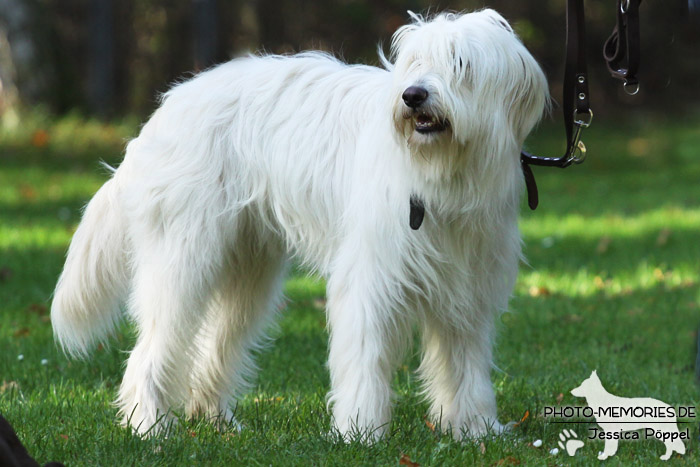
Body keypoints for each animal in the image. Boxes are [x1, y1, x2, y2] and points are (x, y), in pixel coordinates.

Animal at [52, 10, 548, 442]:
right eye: (415, 63)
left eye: (460, 64)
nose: (413, 96)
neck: (445, 174)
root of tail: (163, 111)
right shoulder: (370, 281)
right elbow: (364, 357)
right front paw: (359, 433)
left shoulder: (468, 291)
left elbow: (465, 367)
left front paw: (476, 430)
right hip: (182, 260)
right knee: (151, 350)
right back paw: (149, 427)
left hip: (246, 272)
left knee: (216, 346)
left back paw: (216, 422)